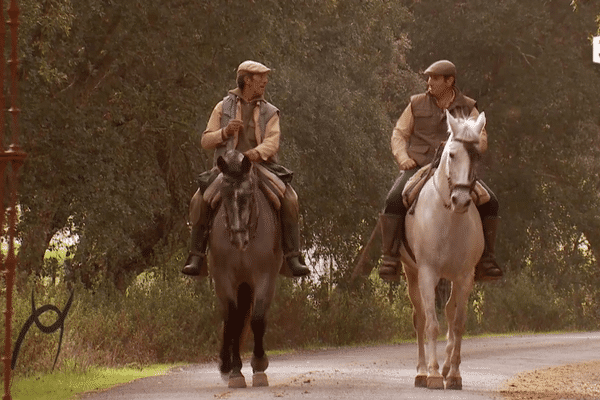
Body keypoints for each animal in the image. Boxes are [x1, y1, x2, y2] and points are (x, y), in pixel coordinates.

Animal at [210, 149, 282, 388]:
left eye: (249, 193)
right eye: (223, 193)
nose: (239, 239)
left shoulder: (264, 277)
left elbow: (257, 319)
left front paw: (259, 367)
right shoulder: (224, 278)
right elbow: (233, 321)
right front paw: (234, 372)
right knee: (230, 318)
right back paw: (226, 364)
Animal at [400, 110, 486, 390]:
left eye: (477, 155)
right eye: (452, 154)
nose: (461, 200)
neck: (449, 218)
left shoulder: (465, 277)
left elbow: (457, 324)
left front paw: (454, 374)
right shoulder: (428, 273)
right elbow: (432, 324)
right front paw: (434, 374)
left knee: (449, 312)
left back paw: (447, 367)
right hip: (411, 272)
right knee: (420, 317)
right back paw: (421, 371)